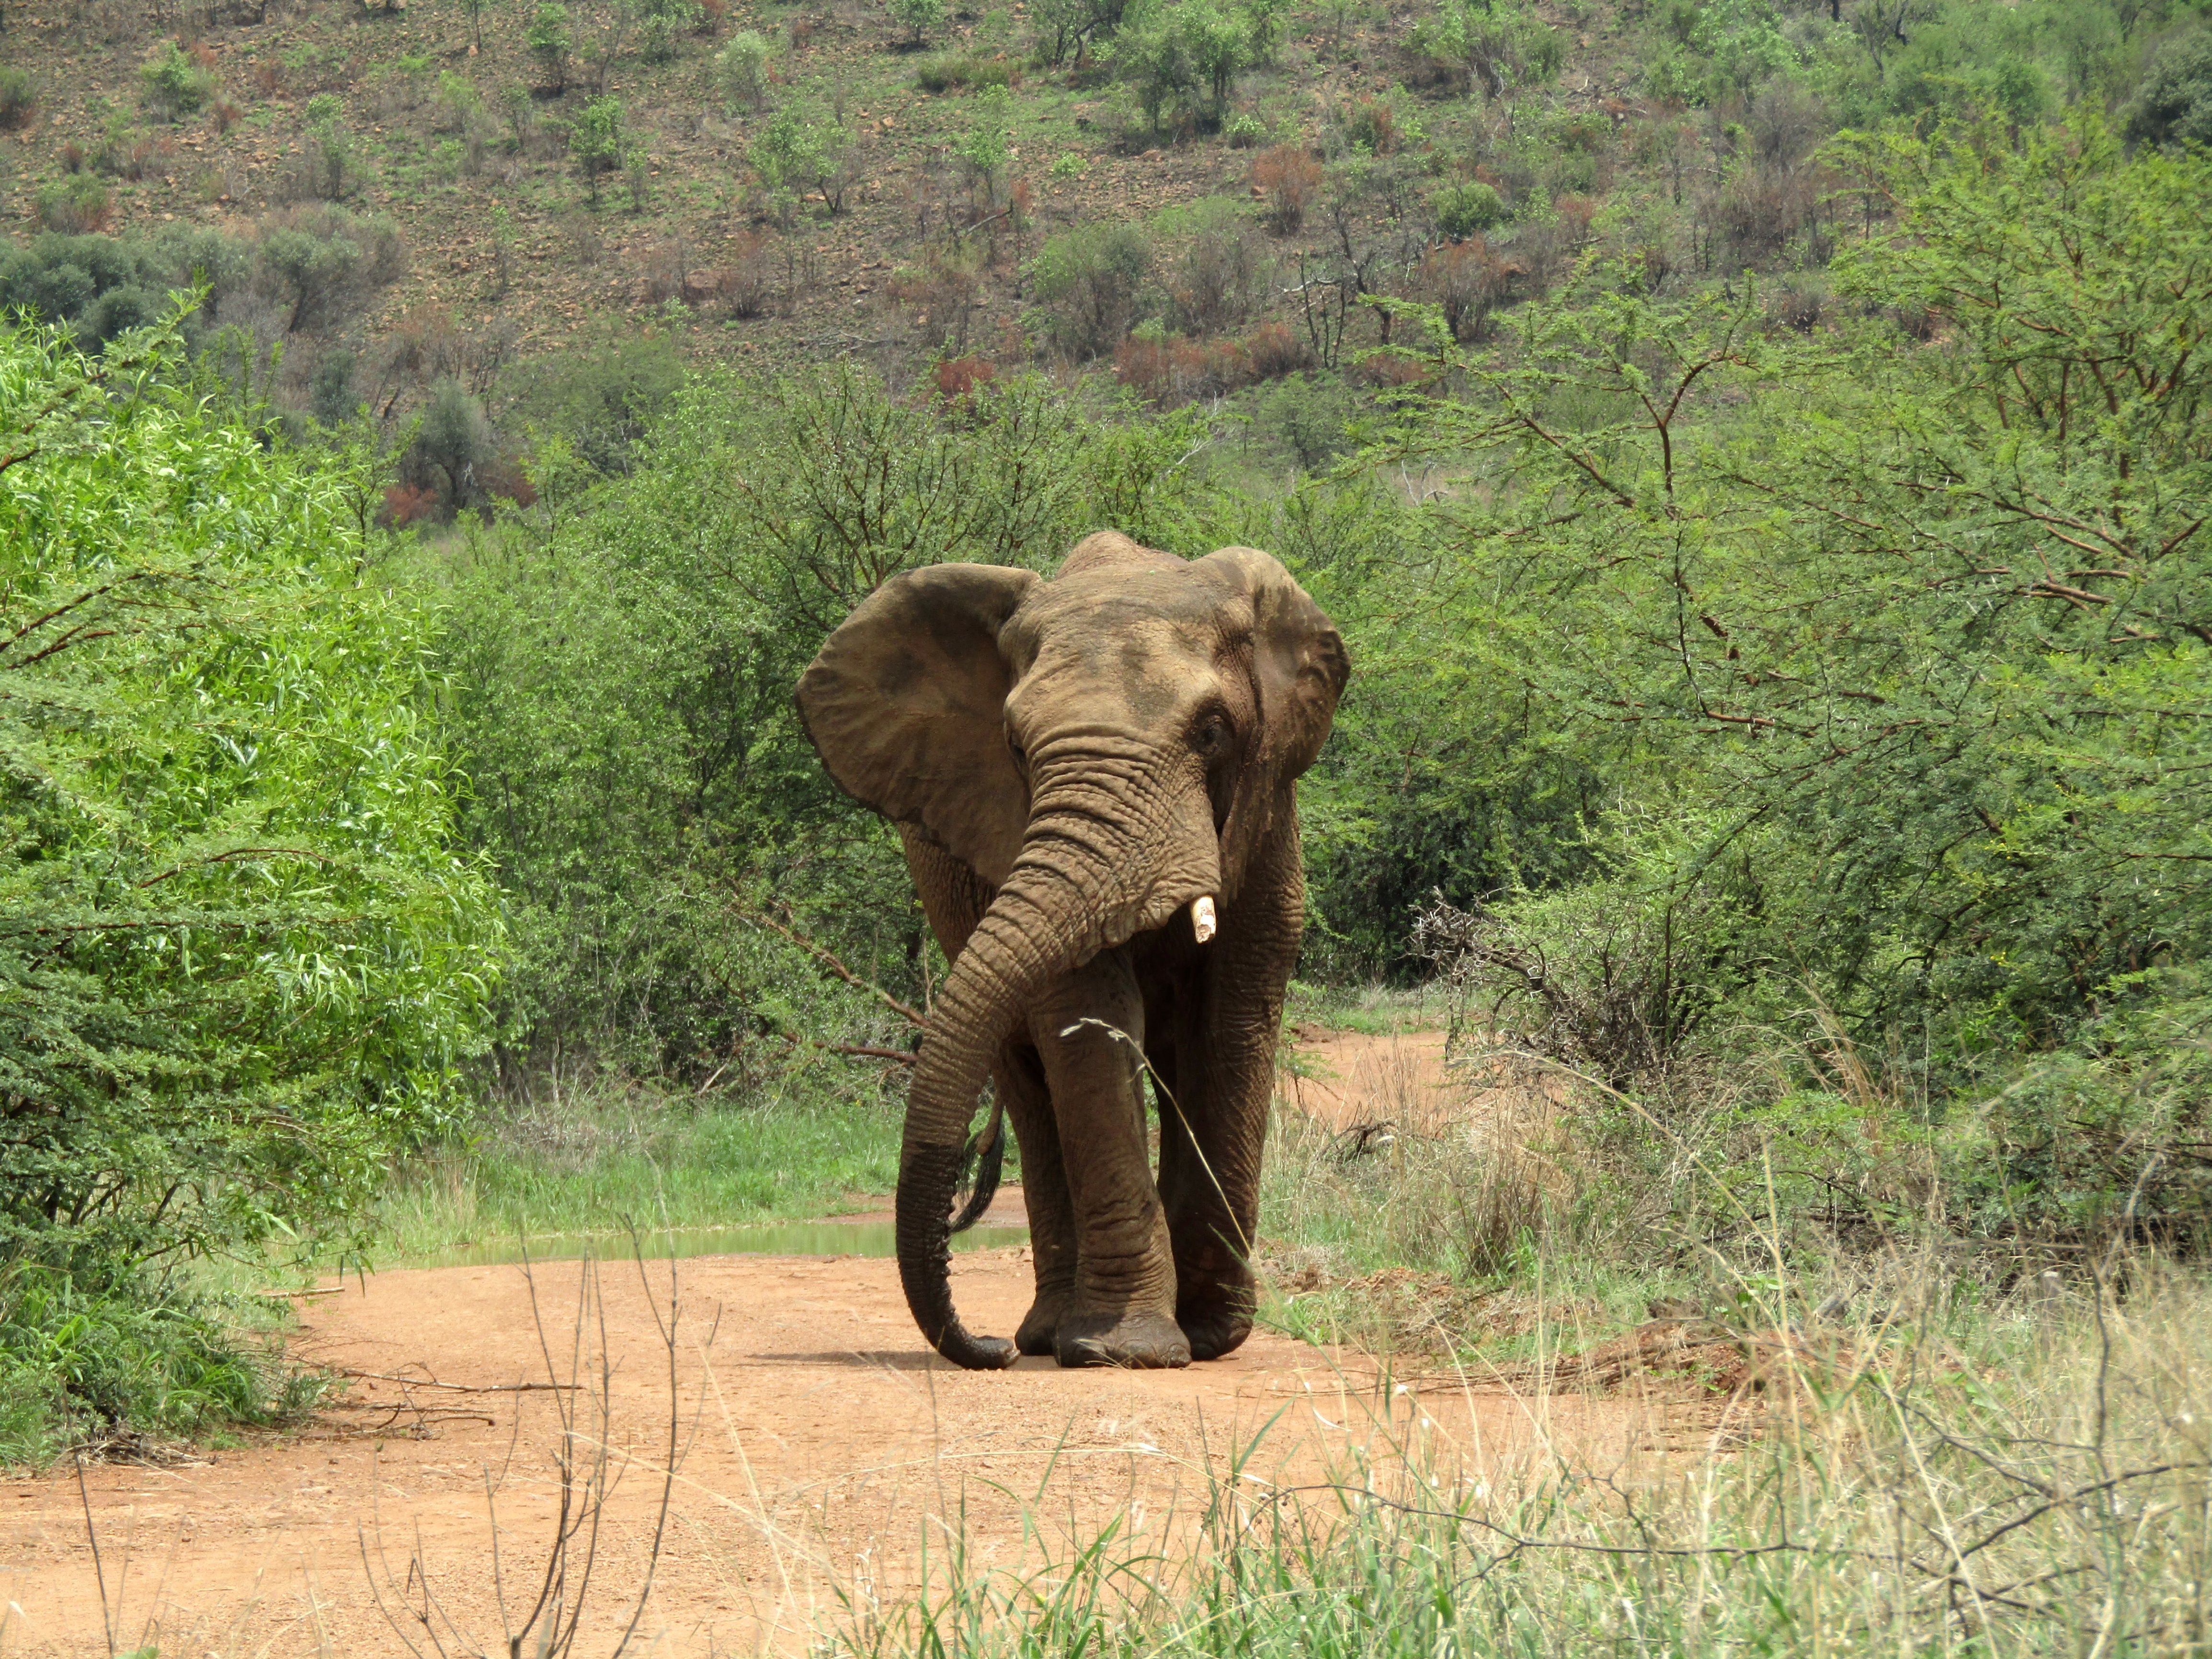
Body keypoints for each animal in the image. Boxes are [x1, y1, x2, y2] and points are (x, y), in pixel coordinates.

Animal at [796, 531, 1349, 1370]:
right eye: (1015, 748)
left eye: (1213, 733)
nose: (986, 1347)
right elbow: (1090, 1023)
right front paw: (1128, 1351)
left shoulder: (1266, 826)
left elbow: (1227, 1031)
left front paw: (1210, 1336)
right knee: (1030, 1088)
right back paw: (1051, 1332)